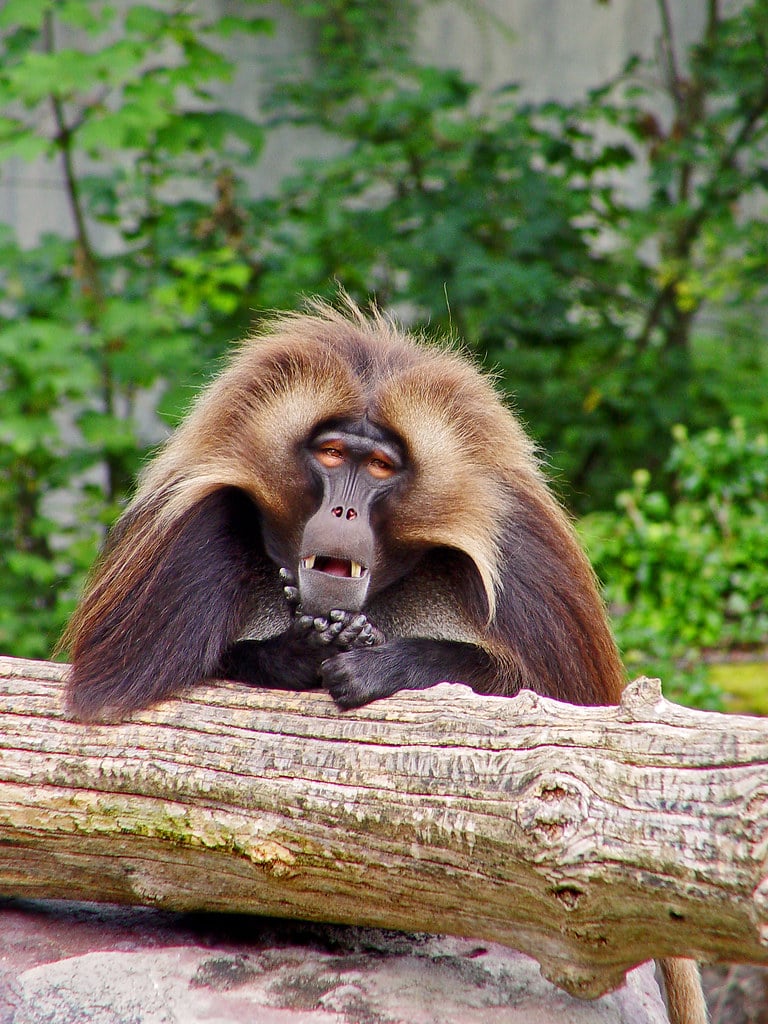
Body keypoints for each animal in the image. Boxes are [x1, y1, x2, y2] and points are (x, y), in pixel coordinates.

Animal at [61, 298, 706, 1024]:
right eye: (331, 453)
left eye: (378, 468)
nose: (343, 509)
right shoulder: (186, 529)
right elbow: (115, 699)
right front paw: (298, 653)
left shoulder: (525, 556)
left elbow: (569, 731)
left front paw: (380, 665)